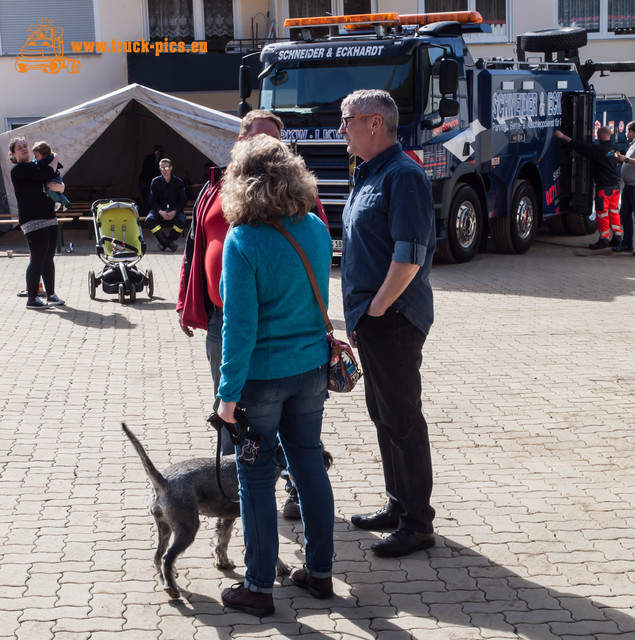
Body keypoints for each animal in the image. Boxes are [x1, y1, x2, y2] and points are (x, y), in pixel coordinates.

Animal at [122, 422, 336, 604]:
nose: (327, 458)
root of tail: (163, 482)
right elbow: (268, 549)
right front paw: (282, 568)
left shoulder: (227, 518)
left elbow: (221, 542)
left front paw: (222, 562)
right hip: (187, 528)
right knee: (167, 557)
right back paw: (172, 589)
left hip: (165, 528)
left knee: (158, 556)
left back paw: (166, 581)